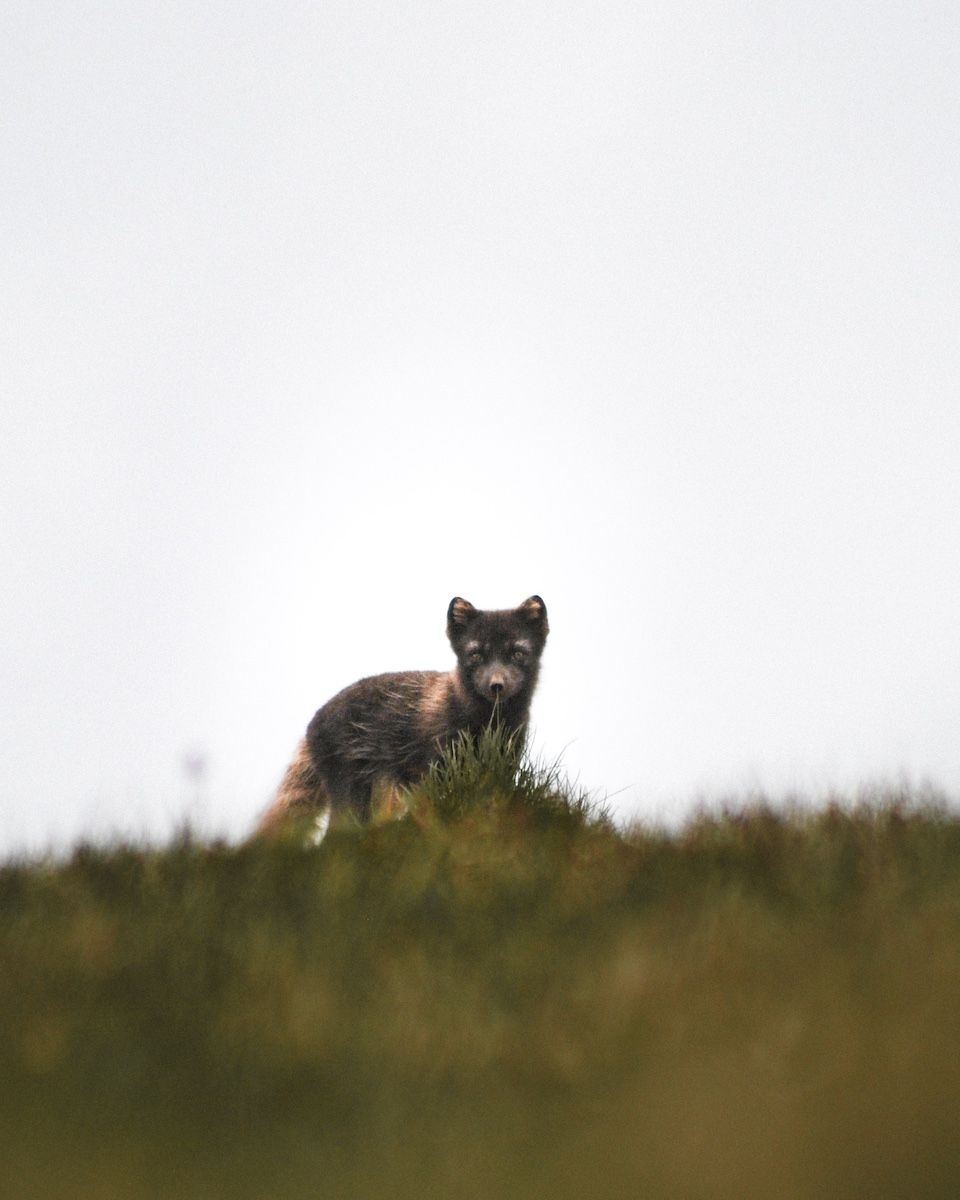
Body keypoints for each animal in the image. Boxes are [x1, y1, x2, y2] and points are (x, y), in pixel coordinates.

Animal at [259, 595, 549, 833]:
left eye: (517, 653)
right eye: (476, 654)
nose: (496, 685)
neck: (488, 723)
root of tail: (310, 726)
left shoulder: (506, 761)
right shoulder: (438, 762)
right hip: (350, 791)